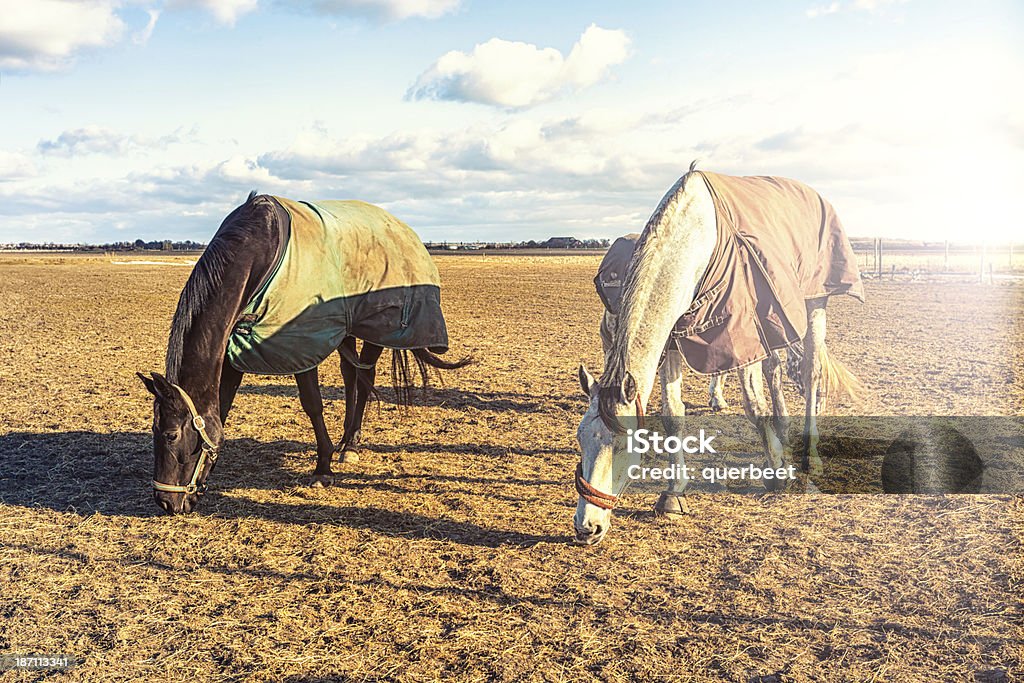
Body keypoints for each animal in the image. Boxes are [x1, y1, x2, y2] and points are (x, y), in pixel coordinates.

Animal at [573, 166, 860, 544]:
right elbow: (673, 415)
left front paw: (778, 476)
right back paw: (783, 432)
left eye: (621, 444)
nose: (586, 526)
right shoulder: (673, 340)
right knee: (776, 369)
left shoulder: (744, 334)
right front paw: (673, 493)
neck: (697, 242)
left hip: (815, 302)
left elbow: (755, 408)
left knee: (810, 371)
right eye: (580, 439)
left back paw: (809, 456)